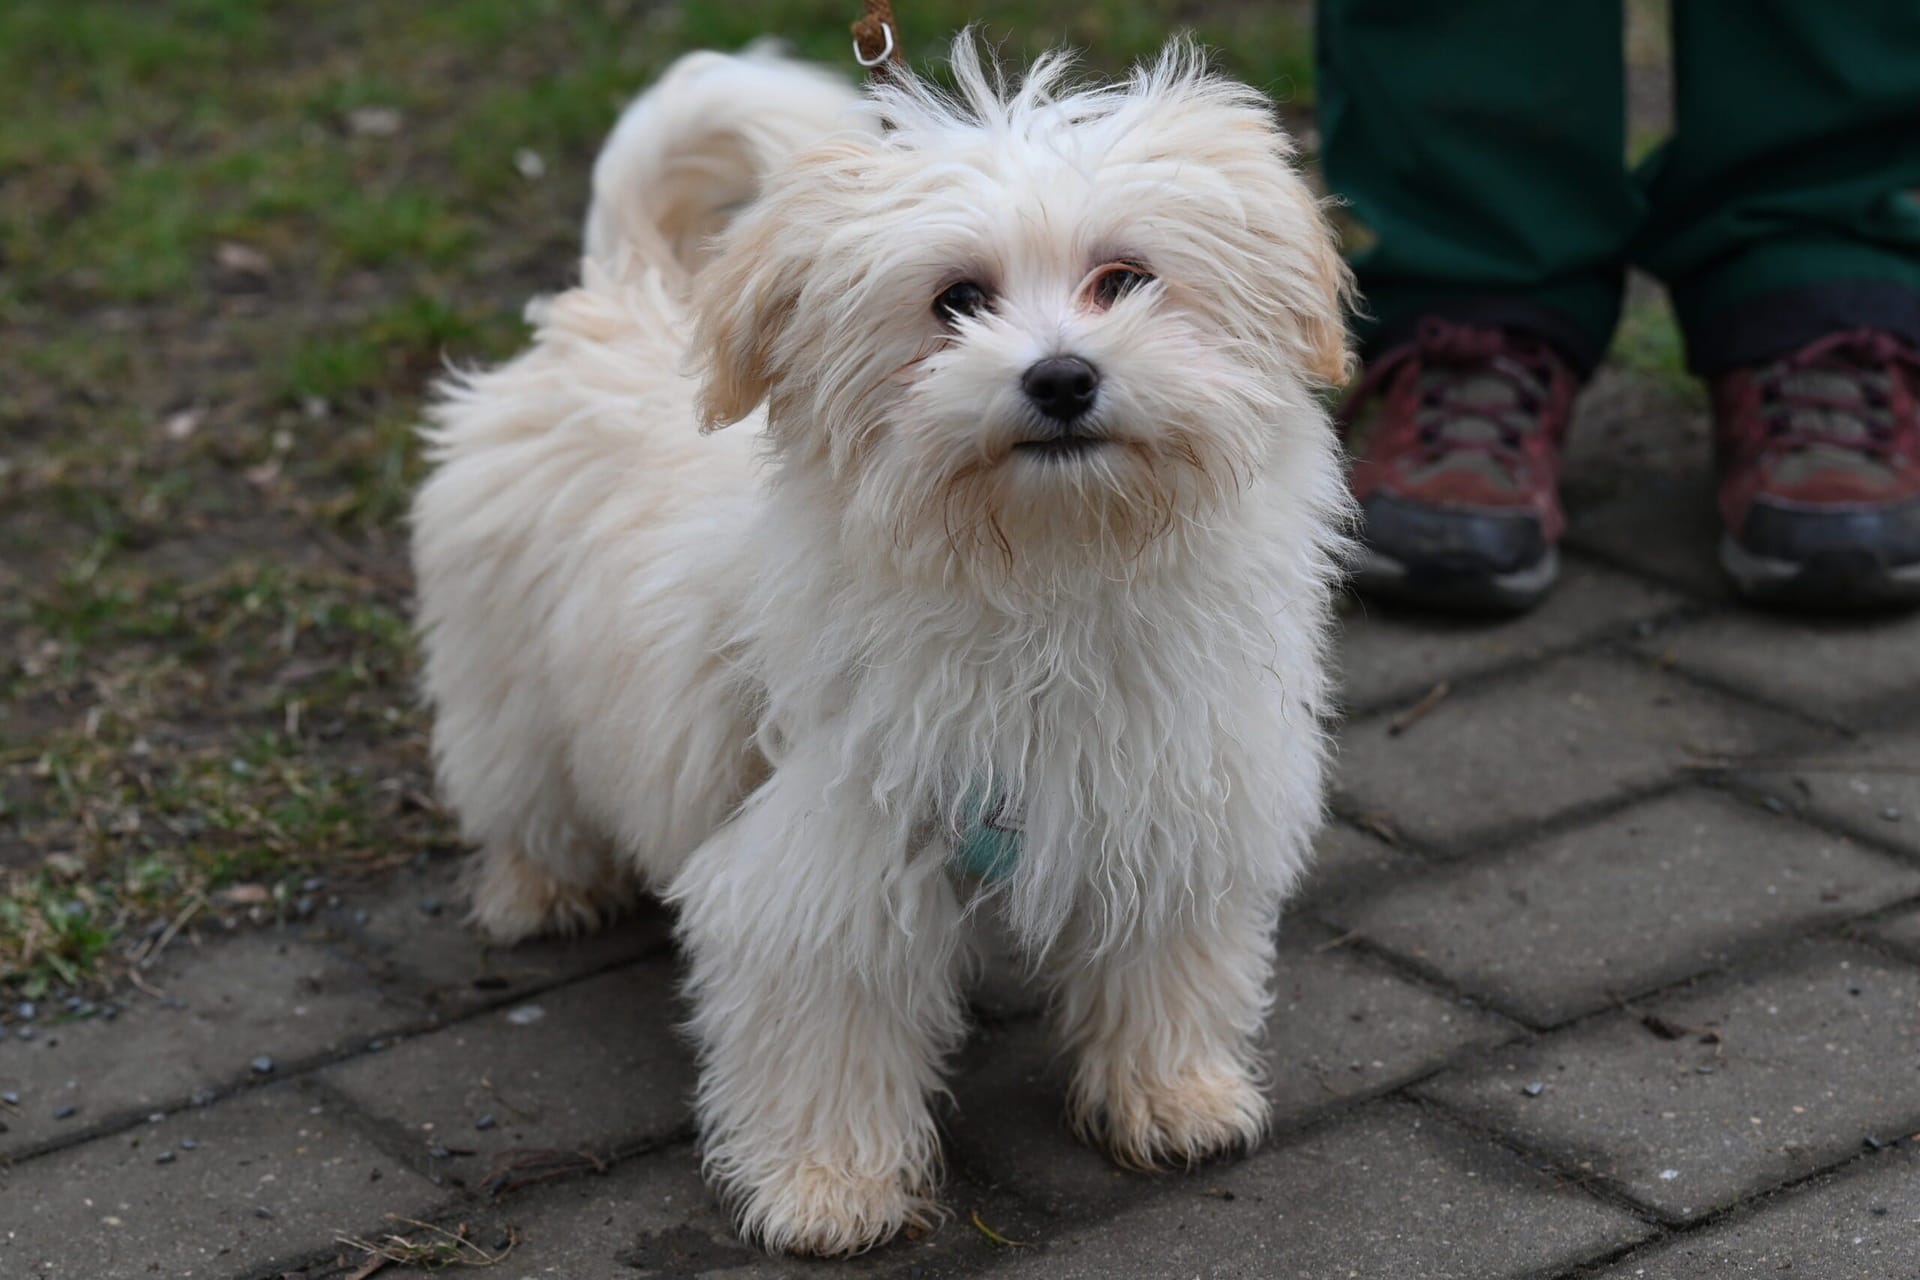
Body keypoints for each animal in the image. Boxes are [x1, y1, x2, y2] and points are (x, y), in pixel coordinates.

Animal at [414, 35, 1359, 1258]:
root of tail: (623, 288)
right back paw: (542, 887)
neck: (1045, 570)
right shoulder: (827, 848)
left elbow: (1167, 957)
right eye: (957, 300)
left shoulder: (1170, 786)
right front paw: (829, 1185)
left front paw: (1175, 1093)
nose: (1062, 376)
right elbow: (831, 1017)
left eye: (1124, 278)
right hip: (505, 669)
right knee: (519, 779)